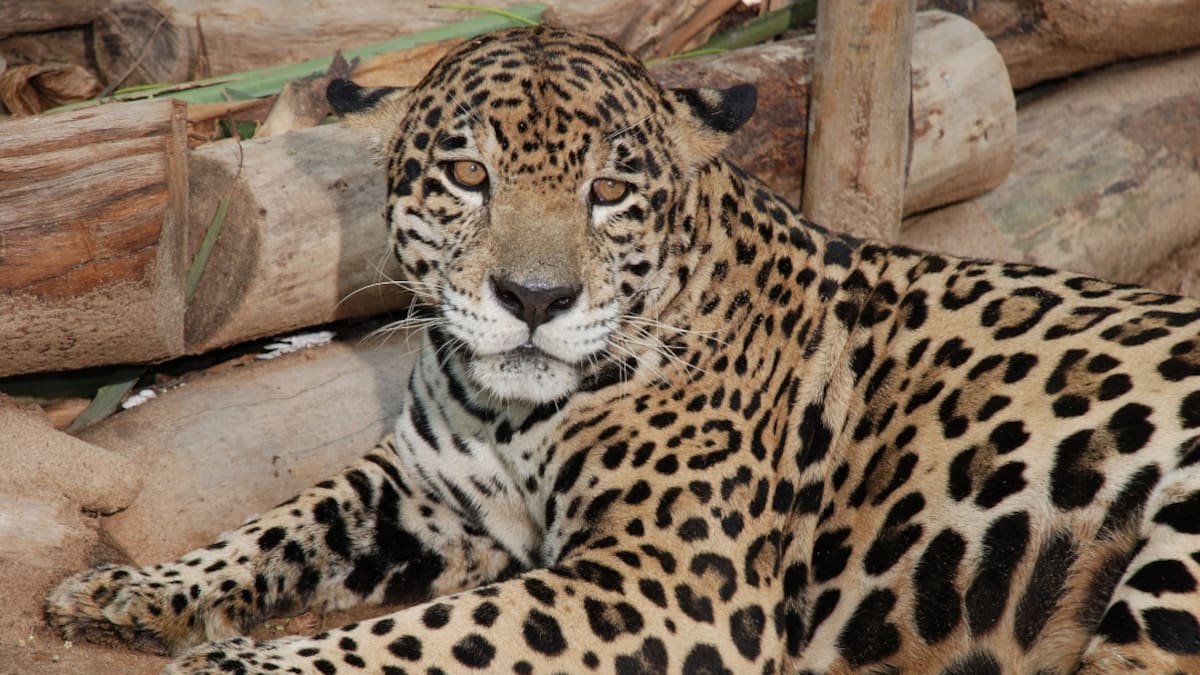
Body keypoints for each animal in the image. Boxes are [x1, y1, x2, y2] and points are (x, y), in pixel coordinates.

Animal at [47, 26, 1200, 674]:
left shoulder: (669, 582)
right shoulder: (422, 489)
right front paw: (128, 589)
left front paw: (243, 666)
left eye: (609, 192)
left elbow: (437, 634)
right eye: (468, 176)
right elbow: (276, 525)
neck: (512, 413)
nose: (535, 298)